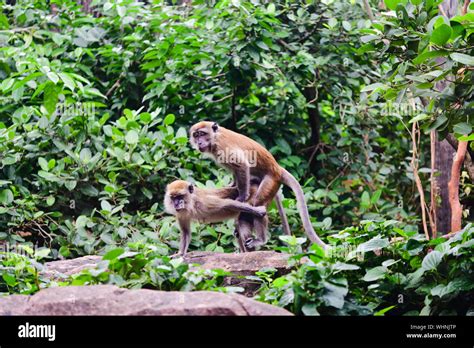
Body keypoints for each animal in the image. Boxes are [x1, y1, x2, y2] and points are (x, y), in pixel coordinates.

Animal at [191, 121, 328, 250]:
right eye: (196, 135)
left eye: (202, 134)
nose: (199, 142)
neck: (215, 138)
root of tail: (277, 168)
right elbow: (235, 172)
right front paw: (232, 186)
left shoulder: (222, 147)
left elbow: (241, 165)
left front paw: (242, 197)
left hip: (271, 181)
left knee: (259, 202)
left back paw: (261, 239)